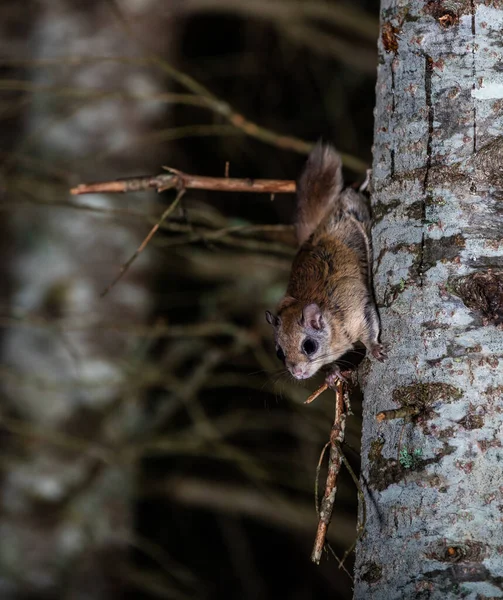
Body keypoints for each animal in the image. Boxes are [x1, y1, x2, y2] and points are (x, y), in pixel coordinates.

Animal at [266, 141, 388, 386]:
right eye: (279, 353)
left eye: (309, 346)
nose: (297, 373)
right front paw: (331, 373)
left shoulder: (357, 307)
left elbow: (370, 329)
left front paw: (374, 348)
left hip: (355, 210)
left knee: (352, 196)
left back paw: (366, 181)